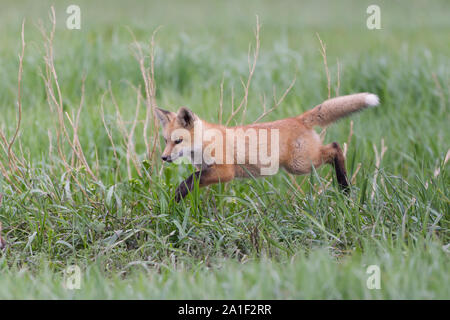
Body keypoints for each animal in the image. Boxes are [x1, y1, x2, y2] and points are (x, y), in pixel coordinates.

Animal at [156, 92, 380, 201]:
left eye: (178, 141)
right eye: (166, 141)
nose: (164, 158)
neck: (206, 142)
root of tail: (297, 119)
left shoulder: (225, 171)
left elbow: (191, 179)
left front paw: (177, 195)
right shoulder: (208, 171)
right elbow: (194, 180)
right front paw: (179, 198)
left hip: (300, 165)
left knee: (335, 148)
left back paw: (344, 185)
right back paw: (344, 187)